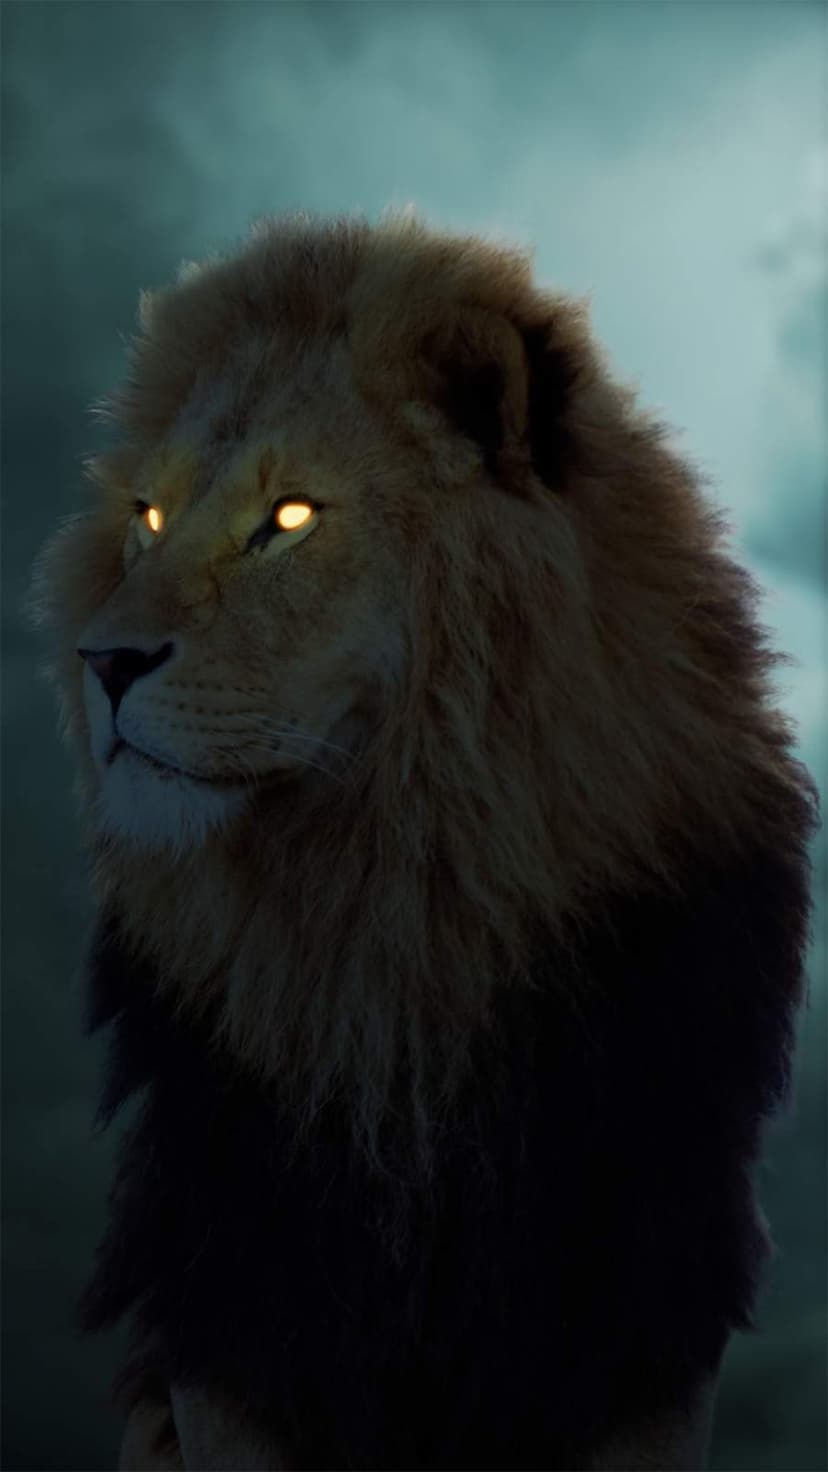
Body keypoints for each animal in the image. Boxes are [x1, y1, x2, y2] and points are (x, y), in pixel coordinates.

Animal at [27, 207, 819, 1470]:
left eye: (289, 519)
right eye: (146, 516)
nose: (100, 661)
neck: (402, 883)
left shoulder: (640, 1301)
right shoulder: (232, 1290)